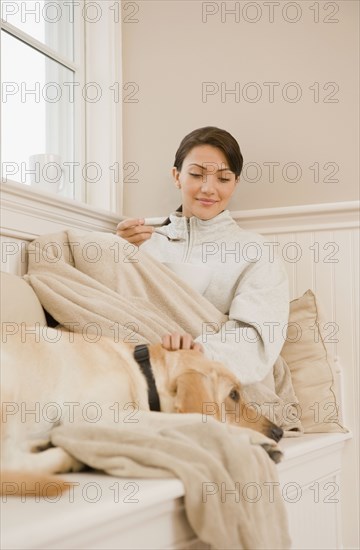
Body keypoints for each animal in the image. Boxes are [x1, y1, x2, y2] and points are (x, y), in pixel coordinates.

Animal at [0, 328, 282, 488]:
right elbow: (200, 421)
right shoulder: (100, 417)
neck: (141, 371)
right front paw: (257, 441)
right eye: (233, 394)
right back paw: (67, 457)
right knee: (12, 462)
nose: (279, 432)